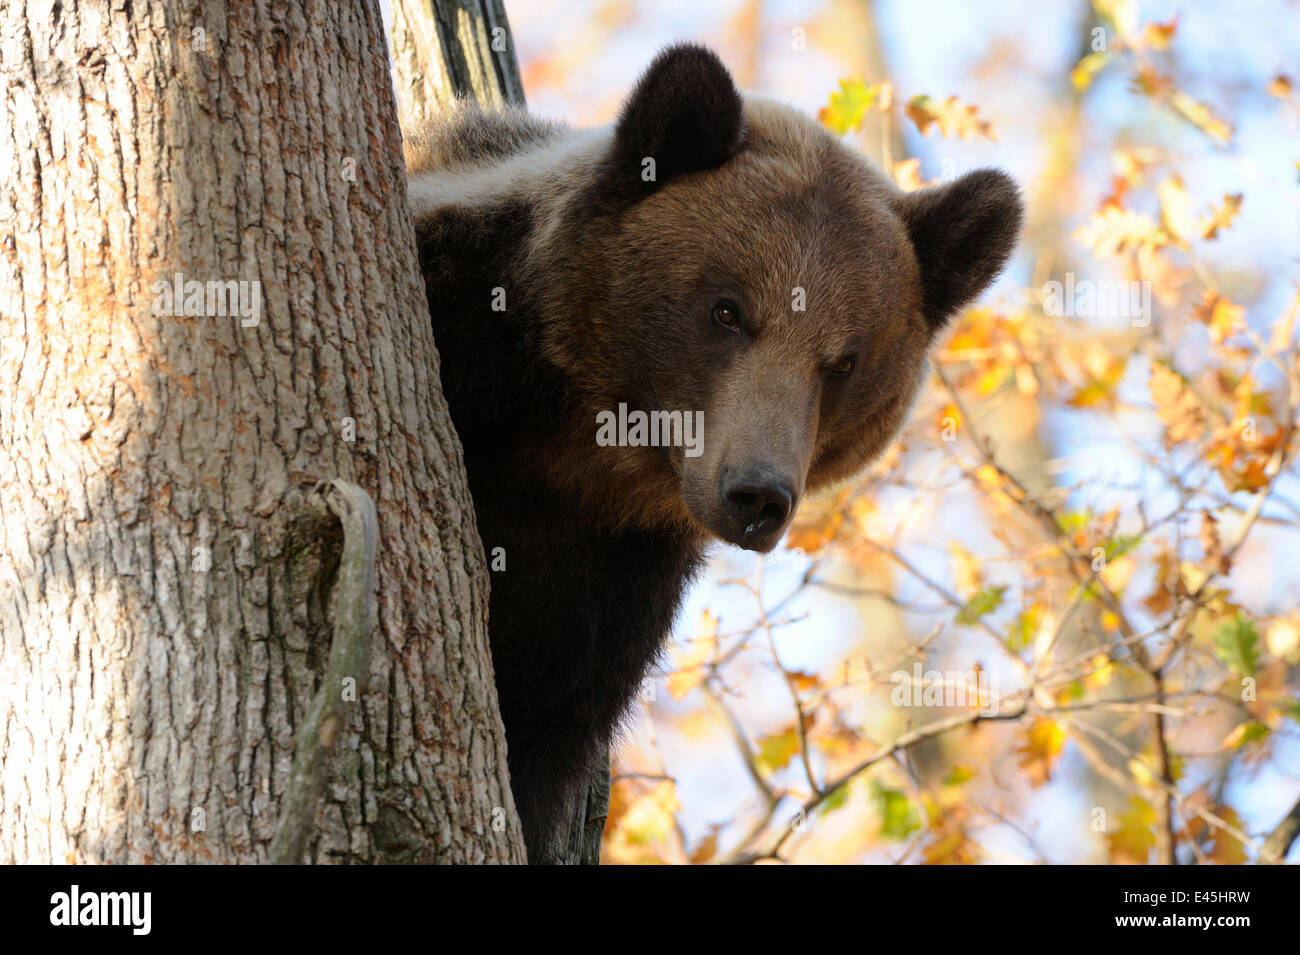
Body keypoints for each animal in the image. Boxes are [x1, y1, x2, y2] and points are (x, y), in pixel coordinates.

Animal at [403, 46, 1013, 867]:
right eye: (727, 309)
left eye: (845, 360)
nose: (757, 494)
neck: (572, 450)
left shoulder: (605, 579)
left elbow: (539, 725)